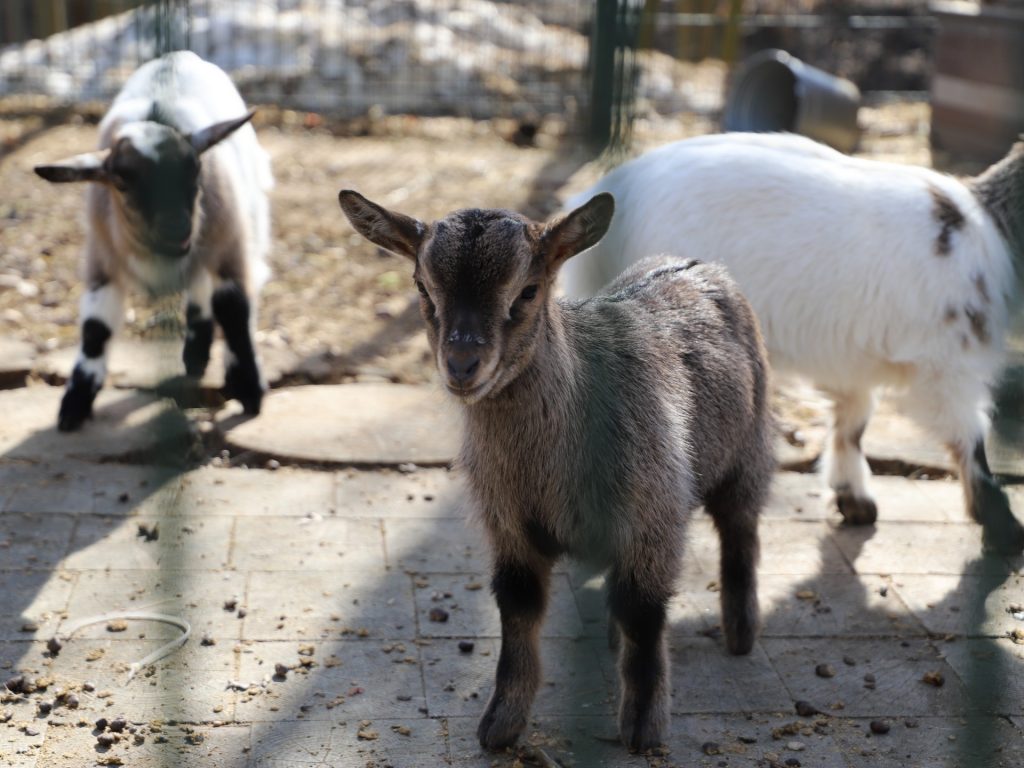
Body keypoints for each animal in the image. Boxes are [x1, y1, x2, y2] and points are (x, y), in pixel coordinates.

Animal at [34, 51, 272, 431]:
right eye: (121, 181)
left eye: (195, 169)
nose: (177, 227)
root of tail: (178, 54)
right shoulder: (102, 259)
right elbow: (95, 329)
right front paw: (74, 404)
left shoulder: (229, 245)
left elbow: (235, 312)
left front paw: (249, 390)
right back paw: (195, 352)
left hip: (246, 217)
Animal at [338, 189, 775, 752]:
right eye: (422, 287)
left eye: (527, 291)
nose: (461, 366)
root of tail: (699, 263)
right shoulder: (509, 526)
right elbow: (518, 610)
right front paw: (500, 726)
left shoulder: (652, 517)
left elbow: (644, 613)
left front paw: (643, 728)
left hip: (749, 451)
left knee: (741, 529)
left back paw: (741, 633)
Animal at [560, 132, 1024, 555]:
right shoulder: (946, 365)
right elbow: (970, 437)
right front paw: (1003, 525)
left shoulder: (852, 361)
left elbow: (853, 422)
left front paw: (853, 499)